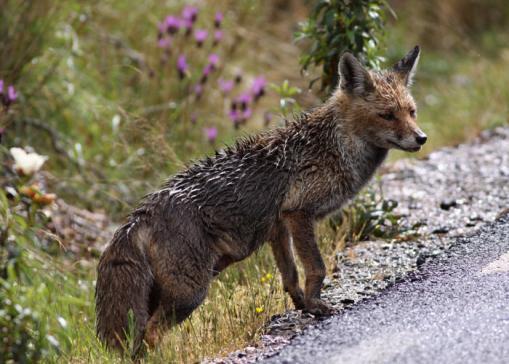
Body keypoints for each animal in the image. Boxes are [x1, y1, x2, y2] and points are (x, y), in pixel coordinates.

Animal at [94, 46, 424, 356]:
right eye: (387, 115)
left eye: (412, 112)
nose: (421, 138)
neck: (334, 147)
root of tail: (140, 215)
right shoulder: (299, 214)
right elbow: (317, 268)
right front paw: (317, 306)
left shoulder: (279, 226)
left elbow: (291, 275)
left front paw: (302, 305)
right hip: (190, 293)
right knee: (150, 334)